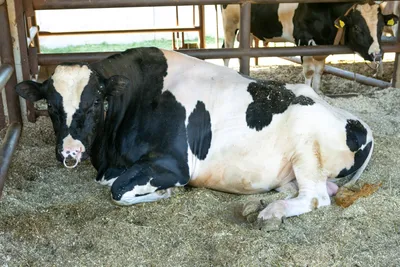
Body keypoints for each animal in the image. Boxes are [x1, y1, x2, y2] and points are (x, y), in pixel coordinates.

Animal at [14, 47, 374, 223]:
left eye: (94, 103)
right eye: (51, 106)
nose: (69, 153)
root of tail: (359, 123)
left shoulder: (175, 166)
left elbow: (117, 191)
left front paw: (164, 193)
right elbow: (113, 184)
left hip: (306, 148)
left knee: (315, 196)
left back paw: (271, 213)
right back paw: (260, 205)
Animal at [222, 2, 396, 93]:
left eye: (381, 27)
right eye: (357, 28)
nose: (377, 54)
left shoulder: (322, 45)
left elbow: (319, 71)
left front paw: (318, 92)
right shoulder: (304, 41)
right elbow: (310, 72)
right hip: (229, 24)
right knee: (227, 50)